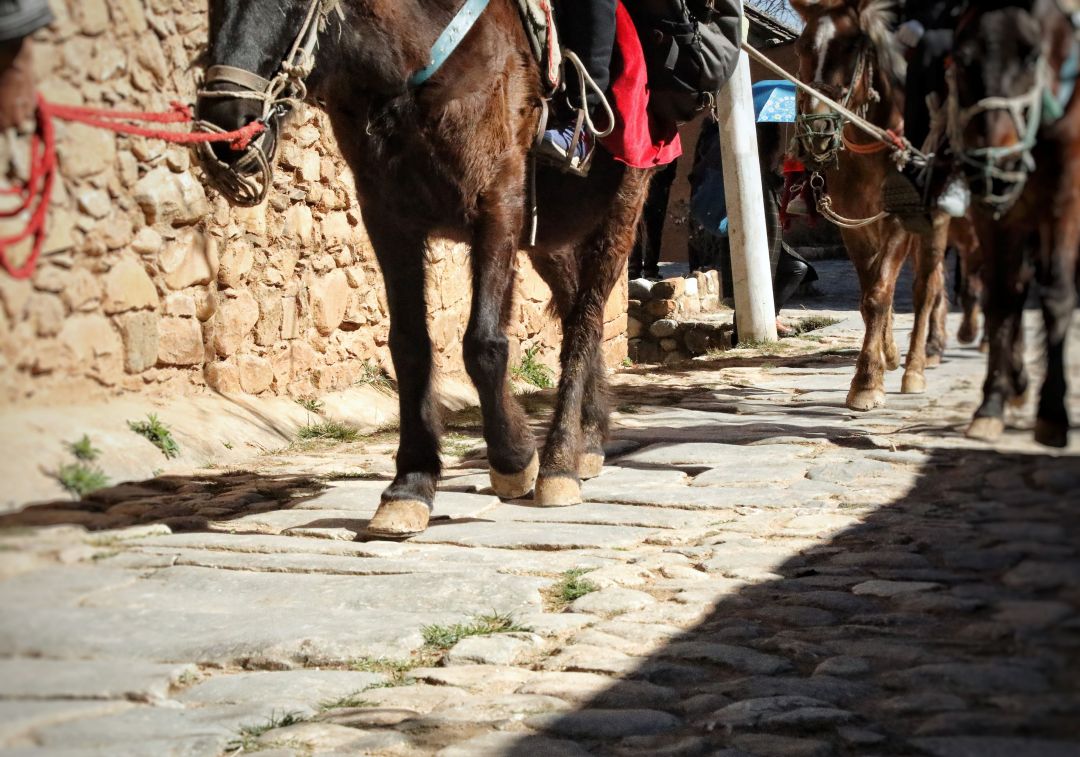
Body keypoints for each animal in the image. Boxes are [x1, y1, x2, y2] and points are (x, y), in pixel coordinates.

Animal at [194, 0, 656, 533]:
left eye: (292, 4)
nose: (225, 123)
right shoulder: (389, 218)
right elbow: (409, 347)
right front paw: (410, 485)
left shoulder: (498, 204)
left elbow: (484, 344)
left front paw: (514, 458)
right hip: (549, 237)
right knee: (579, 310)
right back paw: (591, 438)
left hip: (622, 208)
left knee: (586, 320)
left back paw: (560, 461)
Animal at [790, 0, 959, 410]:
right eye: (801, 47)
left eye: (852, 47)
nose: (817, 132)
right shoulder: (854, 225)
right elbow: (869, 295)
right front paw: (880, 360)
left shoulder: (897, 221)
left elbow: (880, 293)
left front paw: (867, 382)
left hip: (936, 224)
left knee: (925, 289)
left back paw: (915, 368)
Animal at [954, 0, 1080, 449]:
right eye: (962, 58)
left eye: (1030, 55)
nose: (994, 170)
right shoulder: (994, 215)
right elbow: (1003, 298)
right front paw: (992, 403)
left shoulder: (1066, 200)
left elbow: (1057, 295)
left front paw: (1053, 413)